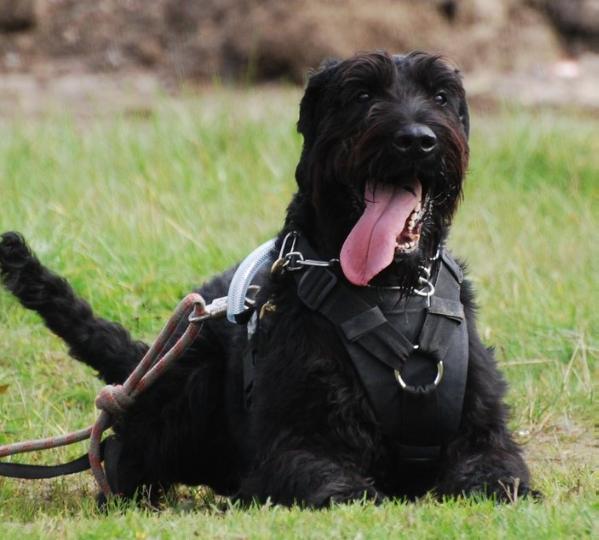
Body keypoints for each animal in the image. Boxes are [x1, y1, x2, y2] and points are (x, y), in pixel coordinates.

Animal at [0, 50, 536, 506]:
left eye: (440, 96)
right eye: (362, 94)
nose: (416, 139)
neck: (388, 291)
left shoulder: (486, 439)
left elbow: (498, 476)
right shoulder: (295, 444)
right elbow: (335, 486)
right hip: (191, 389)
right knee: (117, 455)